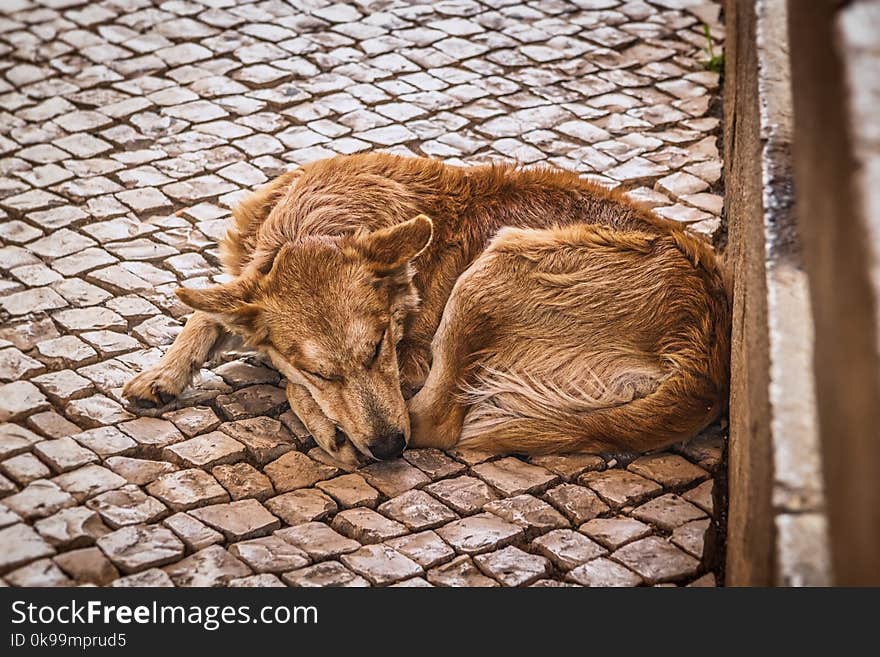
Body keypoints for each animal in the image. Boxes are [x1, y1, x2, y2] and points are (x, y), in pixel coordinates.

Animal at [122, 152, 728, 464]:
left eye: (379, 348)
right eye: (325, 370)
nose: (390, 449)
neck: (320, 219)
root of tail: (707, 364)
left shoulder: (410, 360)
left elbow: (282, 374)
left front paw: (321, 417)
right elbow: (208, 308)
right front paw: (162, 374)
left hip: (491, 271)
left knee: (436, 421)